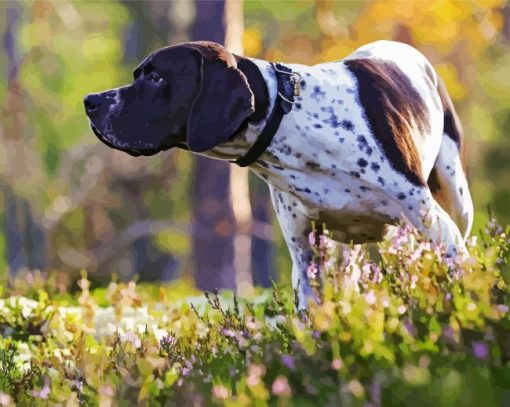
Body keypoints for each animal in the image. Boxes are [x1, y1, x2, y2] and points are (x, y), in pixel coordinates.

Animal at [84, 41, 474, 308]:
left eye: (155, 77)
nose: (91, 101)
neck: (287, 118)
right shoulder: (305, 255)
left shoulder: (439, 230)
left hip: (456, 204)